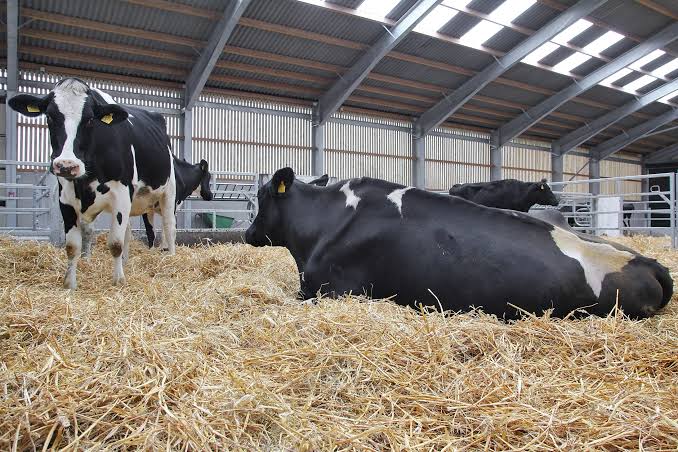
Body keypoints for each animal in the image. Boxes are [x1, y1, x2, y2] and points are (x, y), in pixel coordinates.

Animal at [9, 78, 177, 289]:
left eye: (89, 120)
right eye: (50, 117)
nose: (67, 165)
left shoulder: (121, 194)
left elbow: (115, 243)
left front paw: (119, 280)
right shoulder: (65, 199)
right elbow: (72, 246)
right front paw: (70, 284)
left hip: (168, 191)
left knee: (169, 226)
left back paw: (171, 258)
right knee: (126, 230)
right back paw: (125, 261)